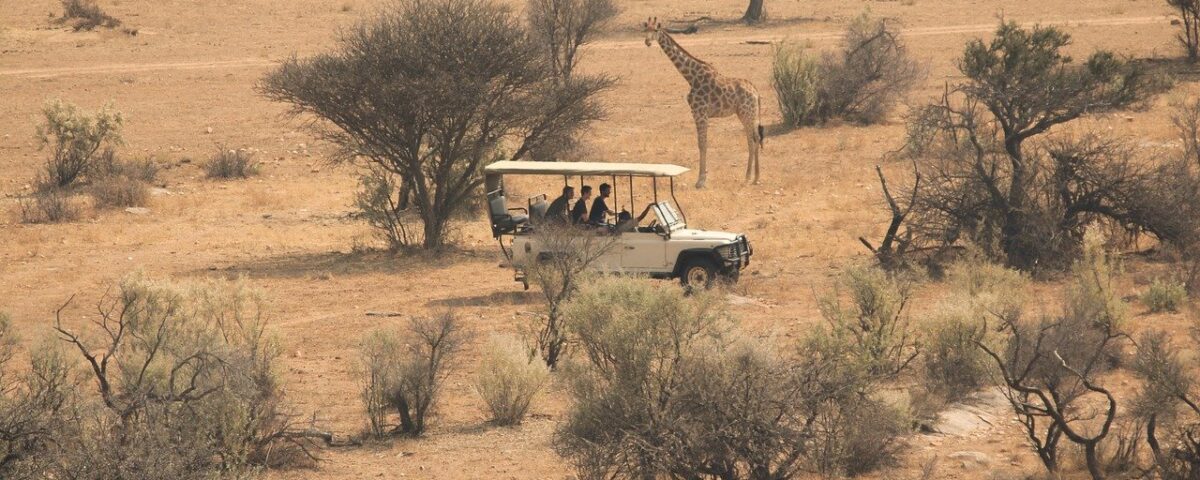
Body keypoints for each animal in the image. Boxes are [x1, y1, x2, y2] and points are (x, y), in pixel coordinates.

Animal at [643, 15, 763, 187]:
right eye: (645, 29)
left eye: (655, 30)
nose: (647, 42)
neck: (691, 77)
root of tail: (756, 93)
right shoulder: (699, 114)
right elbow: (701, 143)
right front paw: (701, 178)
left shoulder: (700, 113)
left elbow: (702, 144)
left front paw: (700, 180)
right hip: (745, 114)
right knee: (753, 139)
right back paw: (752, 177)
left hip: (748, 114)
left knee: (753, 139)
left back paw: (752, 177)